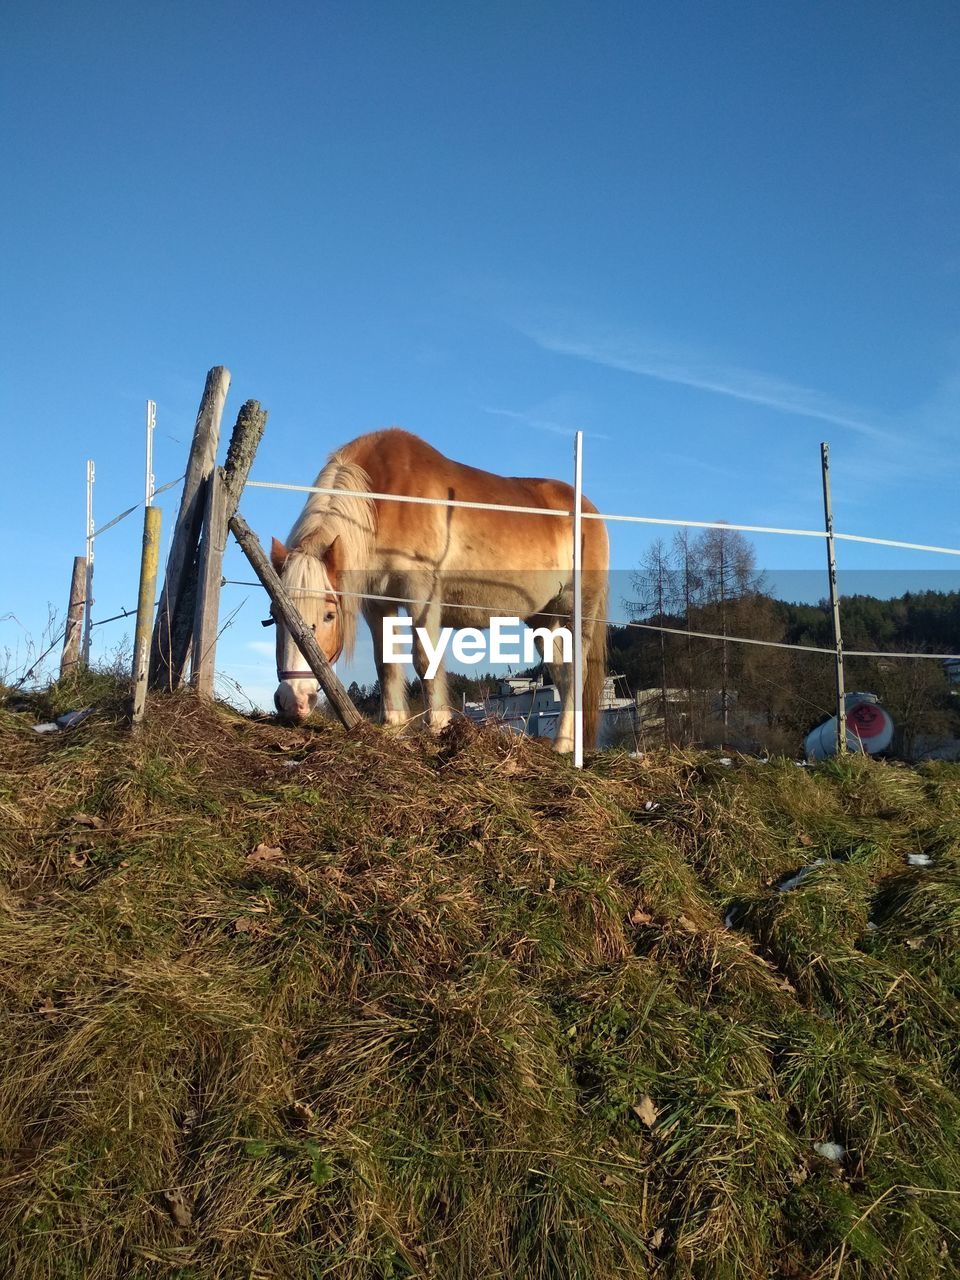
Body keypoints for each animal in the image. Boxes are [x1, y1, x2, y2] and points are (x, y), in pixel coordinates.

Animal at [271, 430, 609, 747]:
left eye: (329, 615)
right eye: (276, 616)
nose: (292, 698)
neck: (383, 500)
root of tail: (589, 510)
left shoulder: (421, 594)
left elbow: (424, 657)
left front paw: (437, 727)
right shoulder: (377, 604)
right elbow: (386, 664)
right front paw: (393, 729)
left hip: (579, 611)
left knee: (576, 672)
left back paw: (563, 745)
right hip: (544, 619)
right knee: (563, 675)